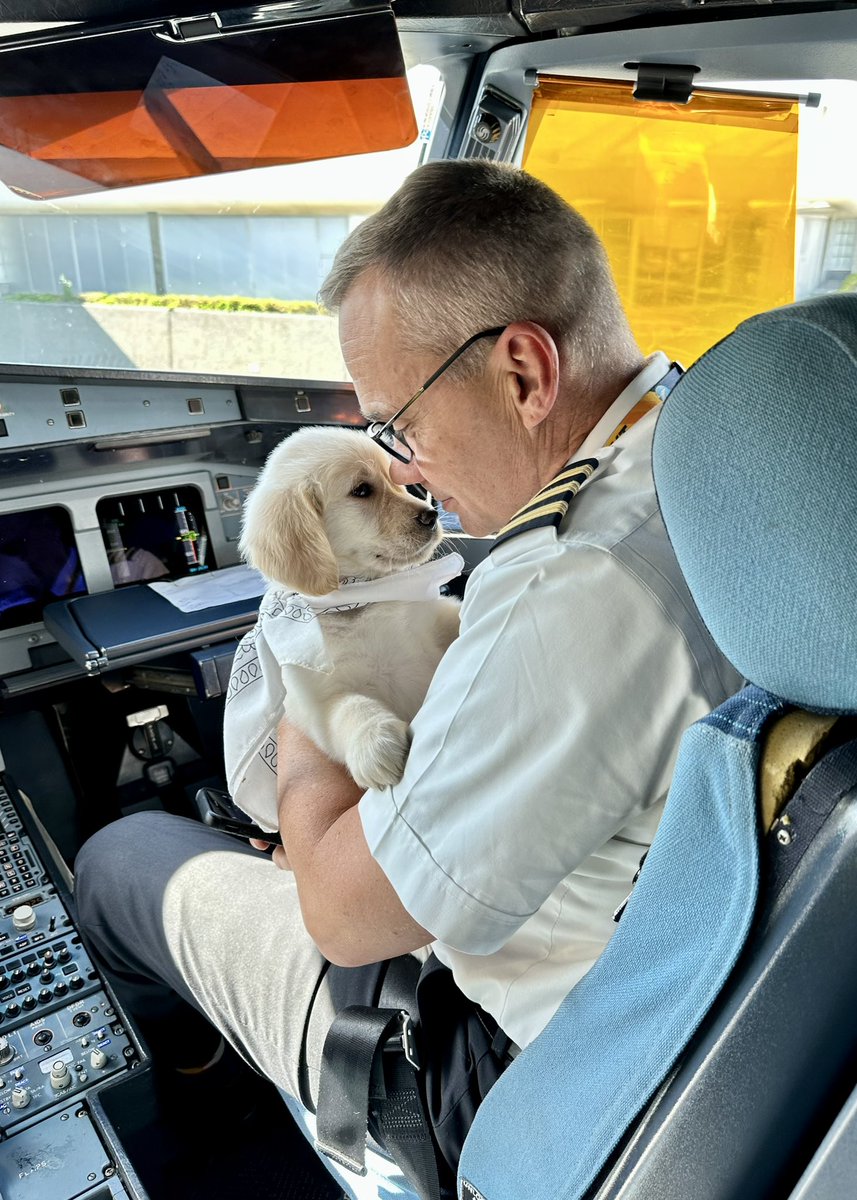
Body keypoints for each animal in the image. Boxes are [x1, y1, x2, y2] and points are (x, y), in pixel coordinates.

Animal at [231, 422, 460, 806]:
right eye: (362, 490)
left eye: (398, 481)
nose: (431, 516)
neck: (363, 602)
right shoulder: (318, 702)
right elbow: (350, 708)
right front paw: (375, 743)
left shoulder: (437, 618)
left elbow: (457, 617)